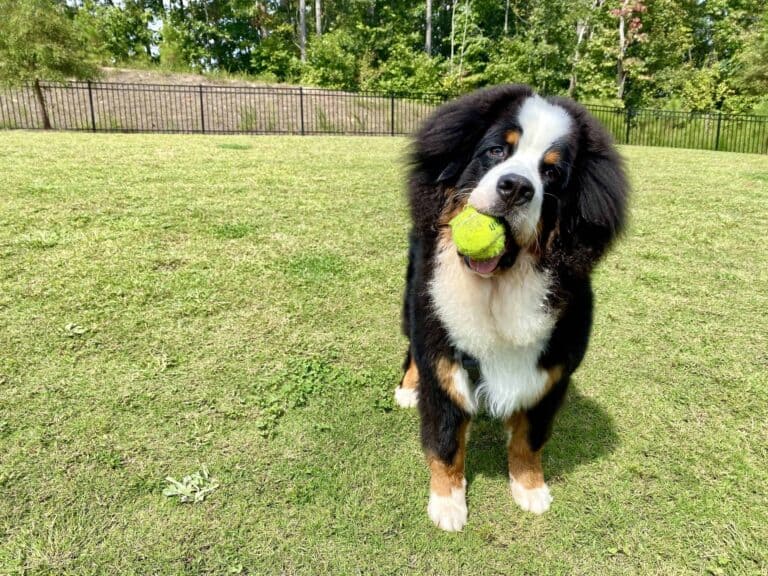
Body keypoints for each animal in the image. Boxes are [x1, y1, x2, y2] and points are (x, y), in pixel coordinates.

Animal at [396, 84, 632, 532]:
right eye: (496, 152)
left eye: (551, 173)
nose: (517, 188)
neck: (496, 291)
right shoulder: (443, 352)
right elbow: (445, 439)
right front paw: (448, 502)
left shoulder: (552, 370)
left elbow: (529, 438)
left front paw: (529, 487)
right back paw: (406, 388)